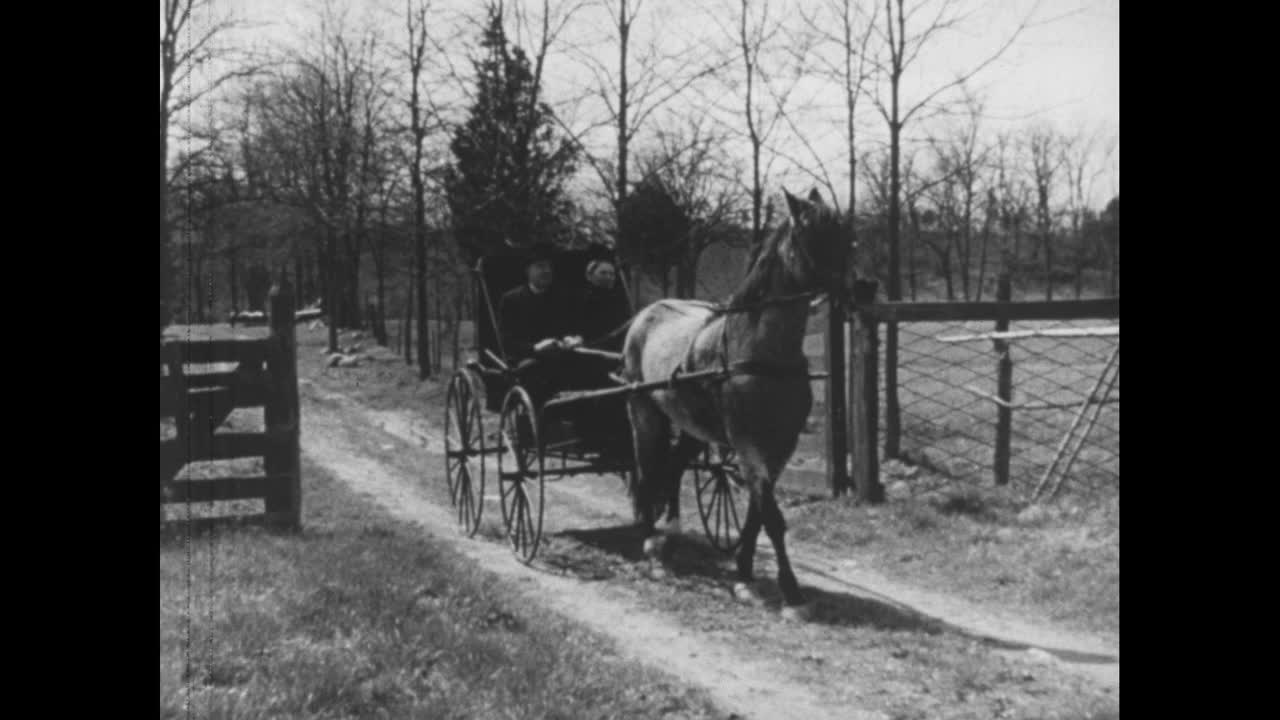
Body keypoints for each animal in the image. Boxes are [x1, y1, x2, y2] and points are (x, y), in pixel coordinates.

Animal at [616, 188, 849, 620]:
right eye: (812, 237)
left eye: (844, 235)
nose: (859, 290)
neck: (759, 350)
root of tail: (647, 313)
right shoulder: (747, 443)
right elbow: (771, 516)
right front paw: (791, 593)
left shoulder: (779, 445)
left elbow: (758, 512)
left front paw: (743, 574)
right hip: (643, 414)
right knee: (647, 471)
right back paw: (651, 546)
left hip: (694, 426)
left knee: (674, 467)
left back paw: (669, 537)